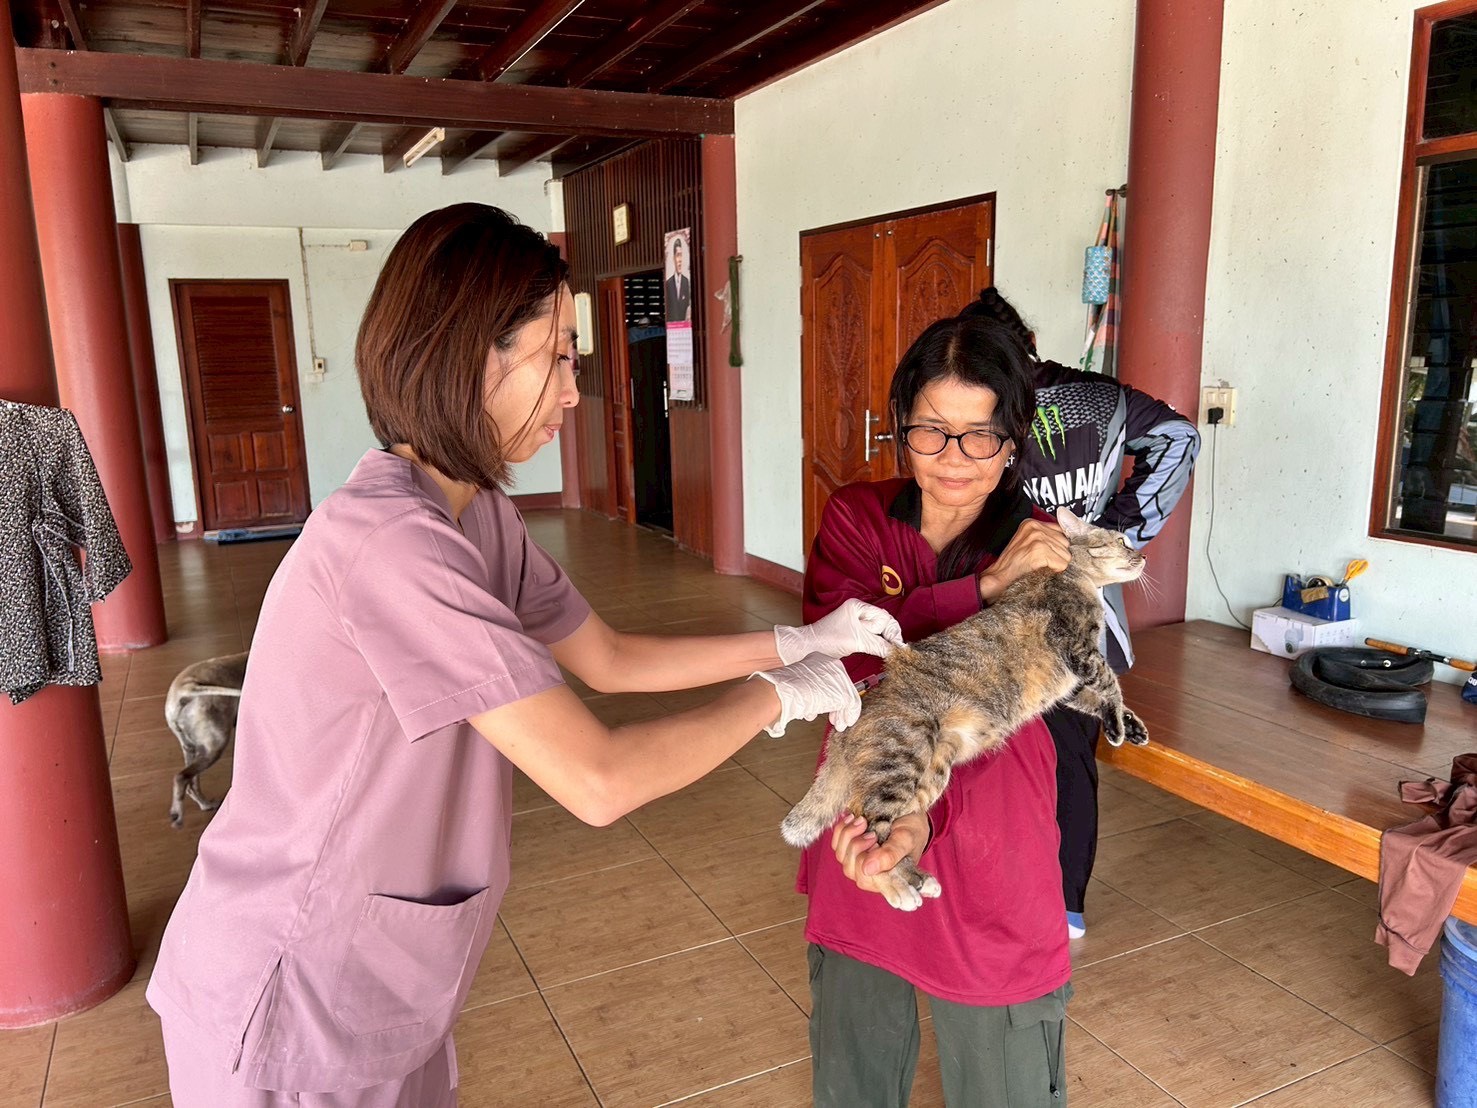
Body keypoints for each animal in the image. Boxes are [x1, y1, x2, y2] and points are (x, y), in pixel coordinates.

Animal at [164, 651, 249, 829]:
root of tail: (185, 689)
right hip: (215, 745)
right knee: (181, 777)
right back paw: (178, 816)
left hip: (192, 748)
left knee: (192, 783)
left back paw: (206, 805)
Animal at [780, 507, 1148, 910]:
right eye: (1121, 541)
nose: (1142, 555)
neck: (1074, 577)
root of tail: (846, 729)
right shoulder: (1079, 649)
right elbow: (1111, 682)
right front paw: (1118, 725)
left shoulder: (1071, 683)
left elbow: (1096, 697)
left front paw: (1130, 726)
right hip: (904, 759)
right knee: (870, 832)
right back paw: (902, 887)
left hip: (931, 773)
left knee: (876, 825)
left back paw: (913, 880)